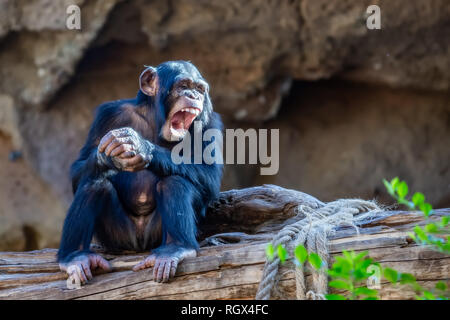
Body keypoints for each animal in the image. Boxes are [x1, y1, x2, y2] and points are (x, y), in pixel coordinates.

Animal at [58, 61, 223, 284]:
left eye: (199, 89)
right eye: (183, 86)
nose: (194, 96)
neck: (156, 121)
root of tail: (139, 244)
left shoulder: (210, 124)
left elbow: (210, 175)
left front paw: (141, 146)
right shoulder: (108, 114)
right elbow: (79, 167)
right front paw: (107, 156)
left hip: (155, 235)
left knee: (174, 183)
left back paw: (176, 248)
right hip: (118, 237)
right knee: (94, 184)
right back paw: (74, 257)